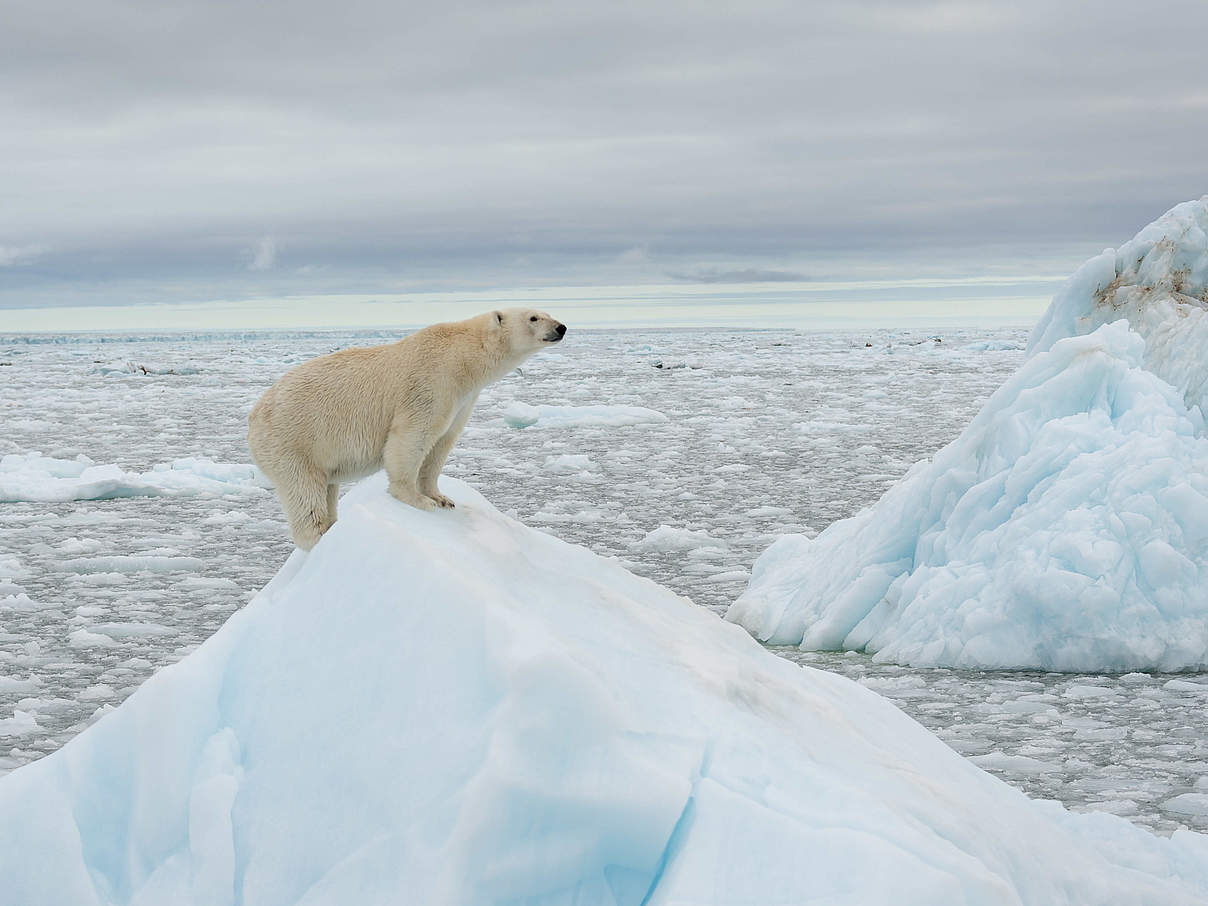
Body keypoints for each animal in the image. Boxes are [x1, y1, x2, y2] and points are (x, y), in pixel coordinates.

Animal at [247, 309, 567, 550]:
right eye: (534, 317)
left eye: (547, 312)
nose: (561, 327)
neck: (464, 356)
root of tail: (253, 418)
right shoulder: (431, 382)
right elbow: (413, 436)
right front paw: (417, 499)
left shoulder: (462, 399)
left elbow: (442, 443)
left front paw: (442, 498)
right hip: (293, 442)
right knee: (304, 490)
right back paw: (320, 535)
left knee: (327, 488)